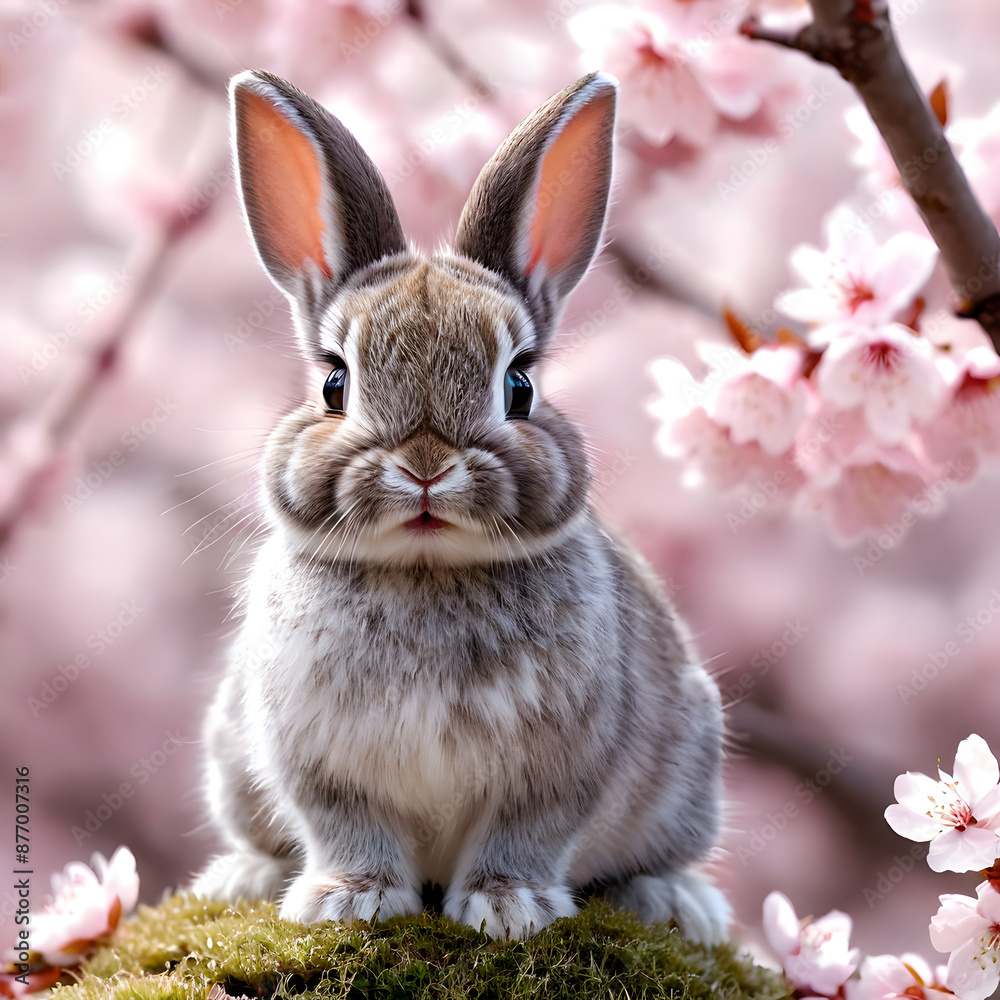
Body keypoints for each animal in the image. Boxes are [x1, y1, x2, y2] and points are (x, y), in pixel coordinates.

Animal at [191, 67, 730, 944]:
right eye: (334, 383)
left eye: (520, 385)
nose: (425, 467)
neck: (425, 567)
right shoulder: (318, 764)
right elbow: (347, 828)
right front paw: (346, 900)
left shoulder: (557, 770)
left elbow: (525, 835)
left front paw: (508, 910)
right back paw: (243, 878)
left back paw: (676, 902)